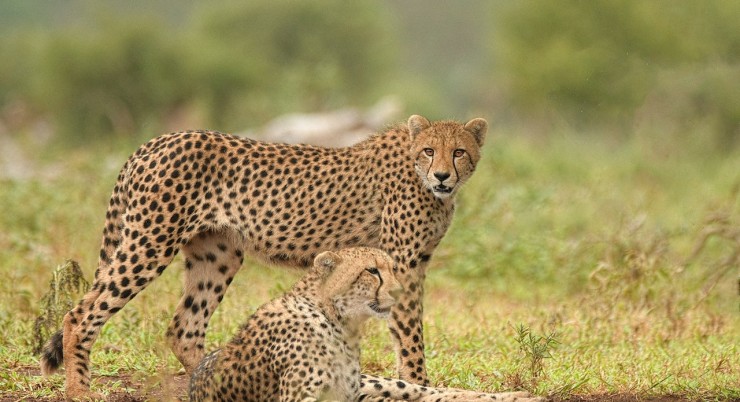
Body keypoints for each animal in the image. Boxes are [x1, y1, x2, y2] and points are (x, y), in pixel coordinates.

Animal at [43, 114, 488, 398]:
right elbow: (410, 337)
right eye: (429, 150)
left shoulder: (412, 264)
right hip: (150, 242)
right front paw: (420, 382)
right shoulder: (403, 264)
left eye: (459, 152)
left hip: (217, 254)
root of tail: (155, 140)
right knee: (80, 314)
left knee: (184, 328)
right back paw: (79, 391)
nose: (442, 175)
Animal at [188, 248, 540, 402]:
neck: (338, 321)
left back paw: (518, 395)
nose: (398, 291)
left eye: (392, 268)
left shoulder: (349, 392)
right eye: (372, 270)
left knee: (426, 390)